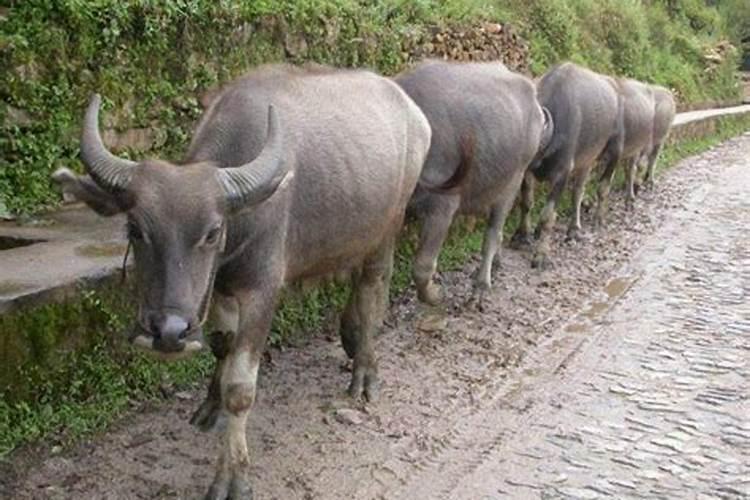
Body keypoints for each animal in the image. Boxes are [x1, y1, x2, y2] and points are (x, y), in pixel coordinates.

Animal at [53, 63, 432, 500]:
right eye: (134, 228)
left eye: (212, 232)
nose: (169, 332)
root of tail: (413, 112)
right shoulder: (217, 287)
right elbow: (222, 344)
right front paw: (210, 405)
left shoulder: (261, 293)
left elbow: (241, 387)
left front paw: (231, 477)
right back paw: (350, 339)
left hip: (387, 231)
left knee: (374, 289)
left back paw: (365, 371)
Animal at [400, 58, 552, 302]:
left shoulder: (442, 208)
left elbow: (422, 267)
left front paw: (435, 294)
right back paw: (496, 264)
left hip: (511, 184)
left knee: (493, 233)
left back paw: (481, 286)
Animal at [516, 62, 624, 268]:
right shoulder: (527, 173)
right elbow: (526, 203)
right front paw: (522, 236)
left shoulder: (562, 173)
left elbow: (548, 215)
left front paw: (541, 255)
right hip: (586, 161)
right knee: (578, 193)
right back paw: (573, 228)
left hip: (615, 150)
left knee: (602, 187)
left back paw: (597, 219)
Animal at [596, 76, 656, 221]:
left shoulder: (615, 154)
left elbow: (603, 186)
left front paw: (600, 216)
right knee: (628, 170)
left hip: (636, 148)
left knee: (632, 171)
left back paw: (630, 199)